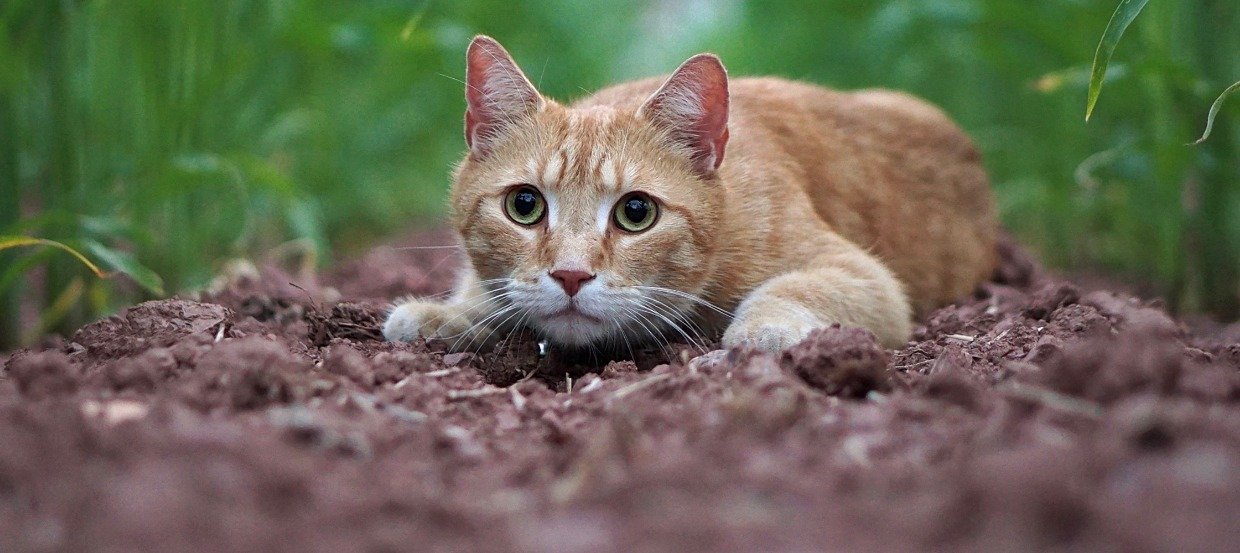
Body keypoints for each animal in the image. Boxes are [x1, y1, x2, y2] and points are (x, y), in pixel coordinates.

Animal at [381, 35, 1001, 354]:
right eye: (524, 205)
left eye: (636, 212)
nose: (571, 276)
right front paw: (450, 313)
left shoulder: (865, 277)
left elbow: (794, 287)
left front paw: (760, 329)